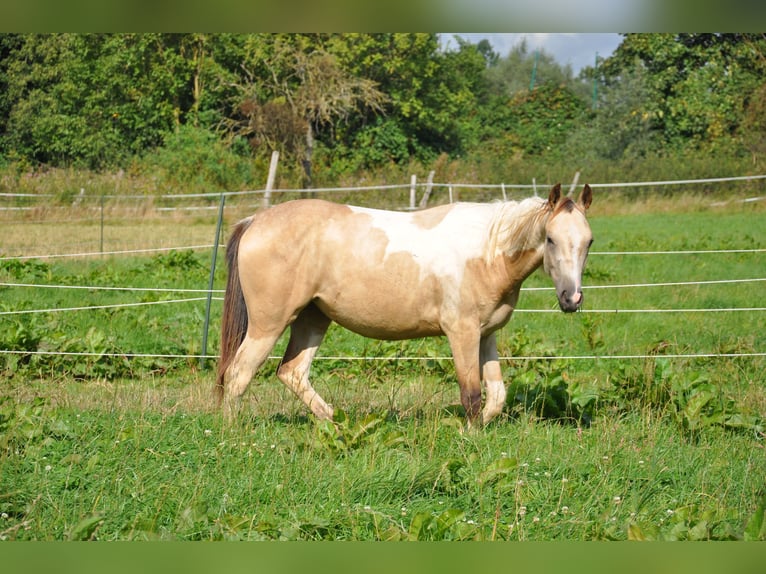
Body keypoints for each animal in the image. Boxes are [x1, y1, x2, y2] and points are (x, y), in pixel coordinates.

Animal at [216, 183, 593, 426]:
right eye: (550, 239)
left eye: (588, 241)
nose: (571, 298)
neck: (487, 251)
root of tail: (255, 221)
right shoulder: (461, 333)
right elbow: (471, 395)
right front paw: (470, 437)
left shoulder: (486, 334)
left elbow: (496, 396)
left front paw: (483, 428)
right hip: (268, 325)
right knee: (238, 374)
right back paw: (232, 432)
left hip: (313, 319)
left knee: (292, 372)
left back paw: (334, 422)